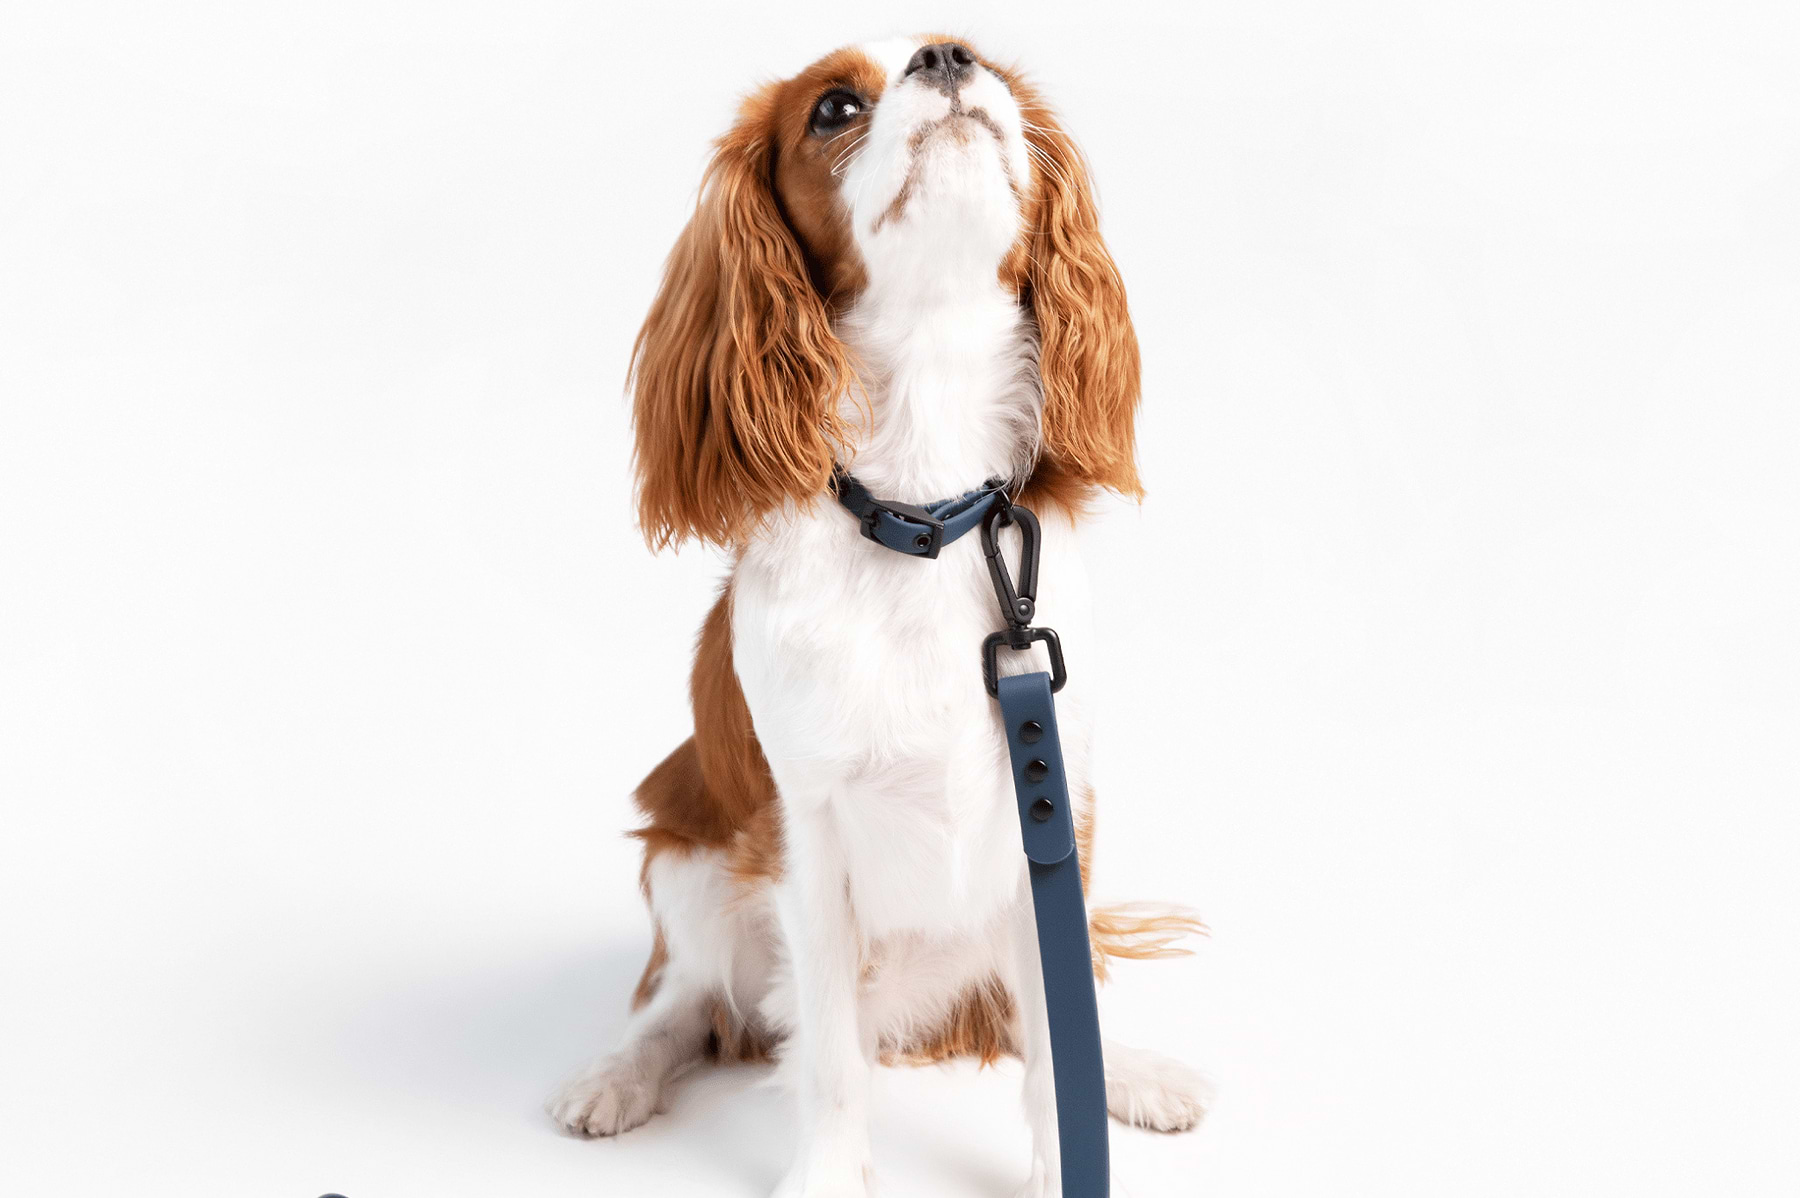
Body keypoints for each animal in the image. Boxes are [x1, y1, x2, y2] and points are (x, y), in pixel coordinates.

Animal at [547, 32, 1216, 1187]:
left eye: (983, 57)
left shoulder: (1053, 813)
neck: (929, 512)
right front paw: (825, 1176)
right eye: (833, 108)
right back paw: (618, 1076)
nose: (947, 57)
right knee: (686, 1005)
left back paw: (1129, 1072)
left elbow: (1057, 1039)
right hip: (684, 860)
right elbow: (826, 1054)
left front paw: (1067, 1162)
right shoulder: (804, 831)